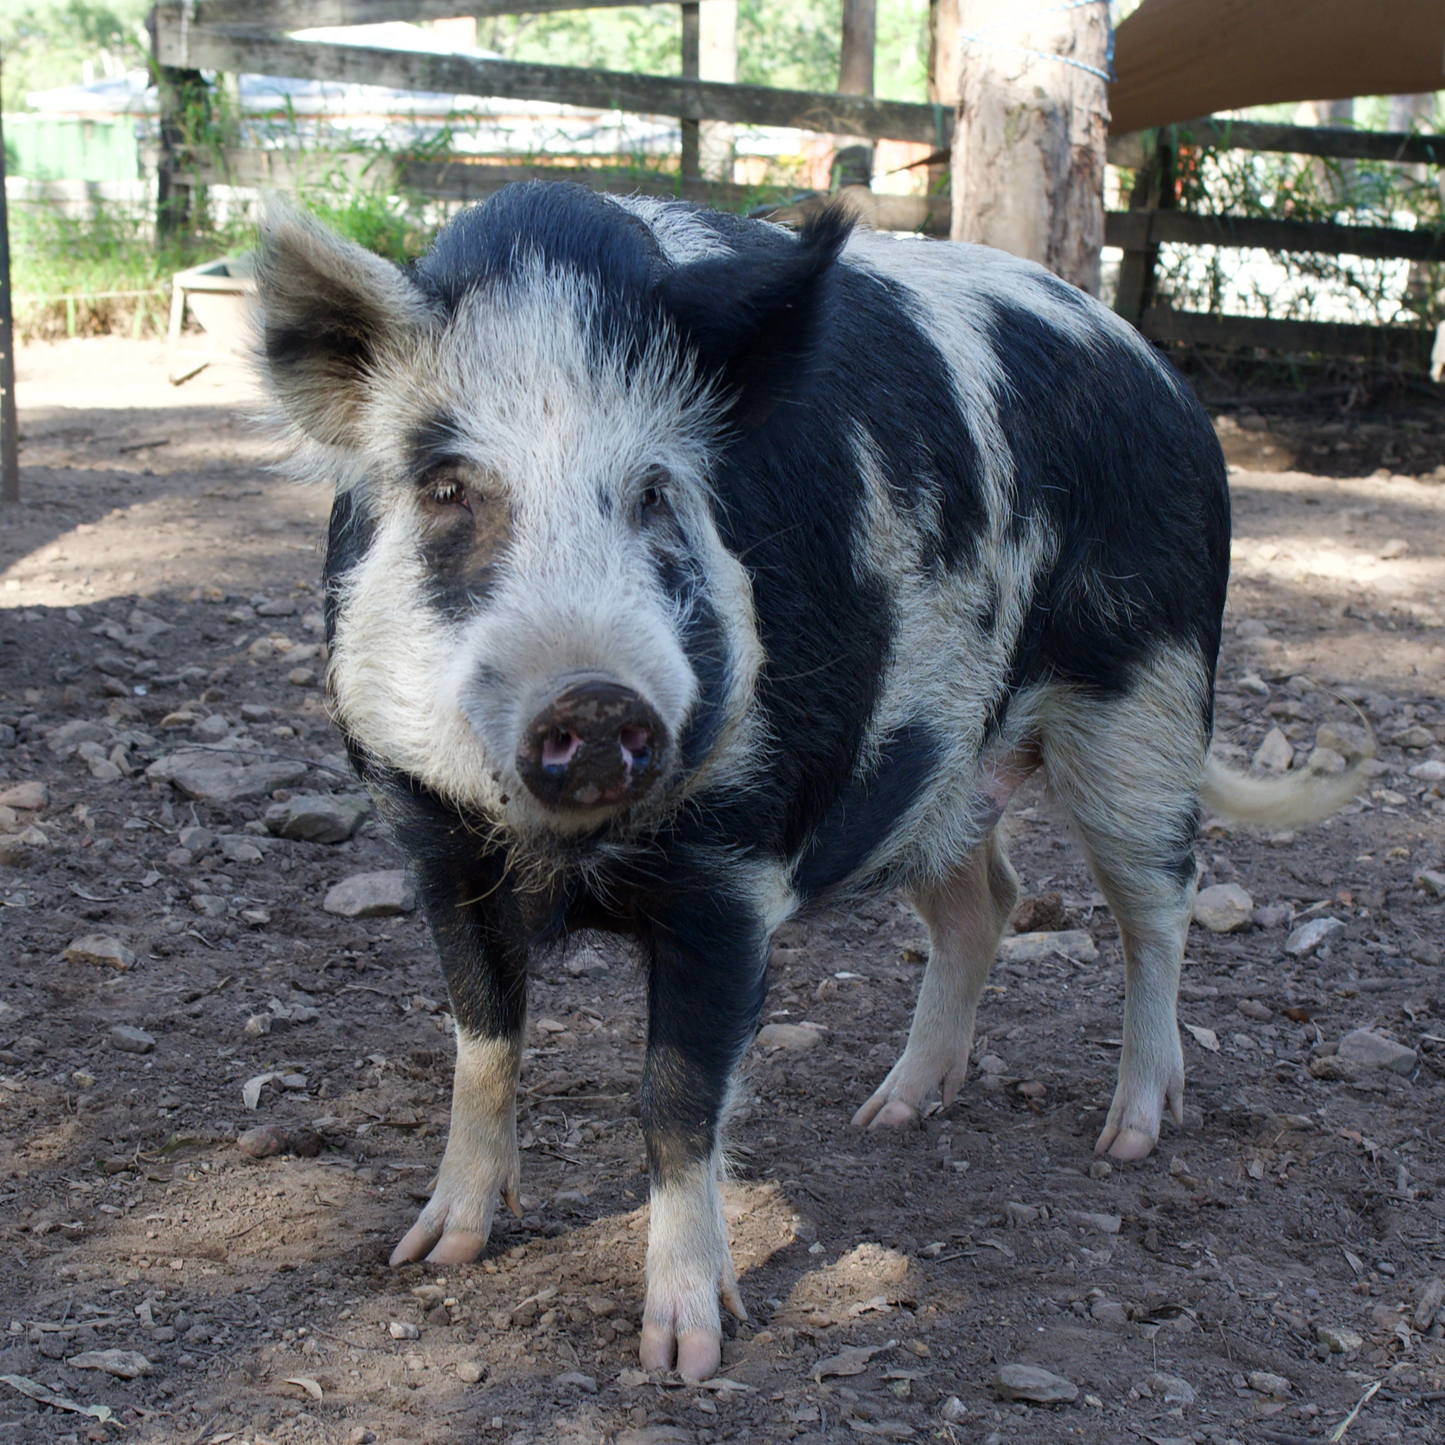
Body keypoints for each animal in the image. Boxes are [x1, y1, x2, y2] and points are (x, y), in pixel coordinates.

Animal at [253, 184, 1364, 1379]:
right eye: (447, 487)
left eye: (656, 492)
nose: (594, 698)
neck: (569, 850)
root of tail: (1163, 377)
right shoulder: (433, 840)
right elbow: (481, 1042)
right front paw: (431, 1250)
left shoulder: (731, 864)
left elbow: (679, 1096)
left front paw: (685, 1353)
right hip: (934, 767)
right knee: (988, 903)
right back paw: (891, 1112)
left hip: (1146, 695)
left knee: (1158, 906)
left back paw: (1127, 1136)